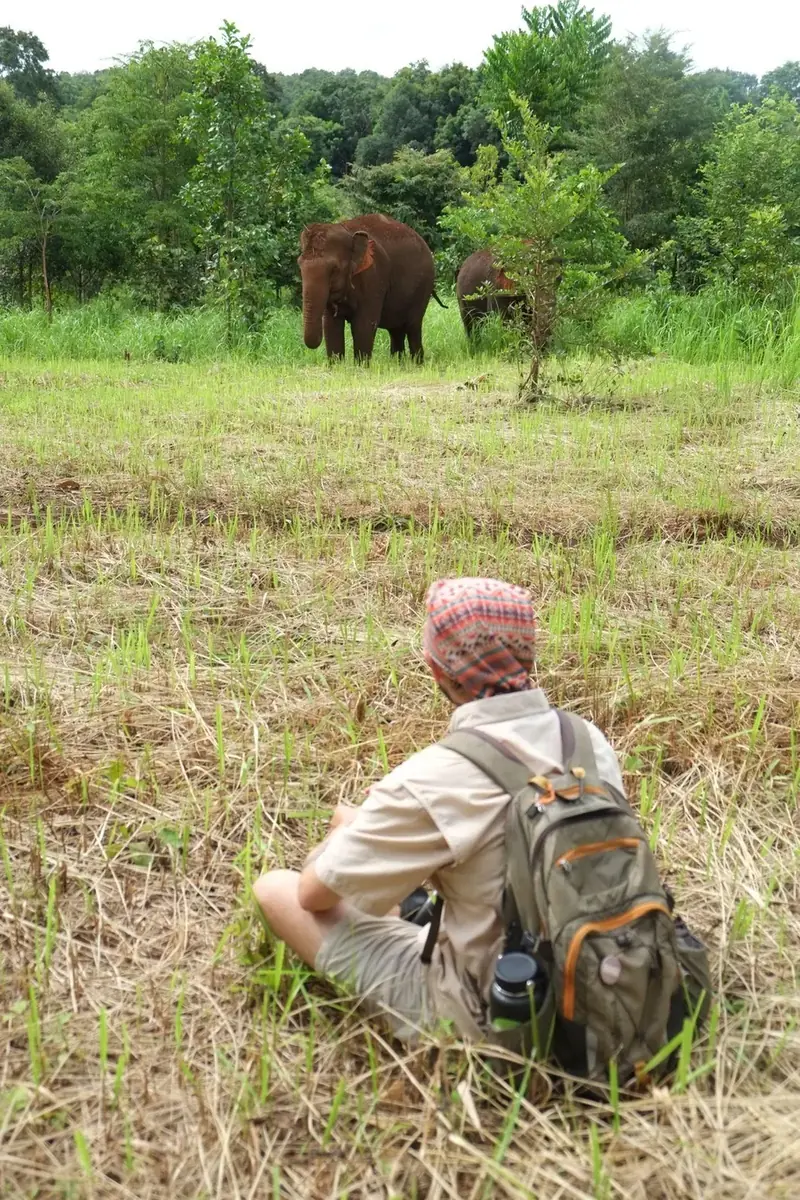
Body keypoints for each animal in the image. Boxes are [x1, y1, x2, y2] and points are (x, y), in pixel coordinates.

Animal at [298, 214, 442, 363]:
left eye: (334, 269)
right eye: (299, 266)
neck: (347, 231)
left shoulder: (374, 277)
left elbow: (364, 325)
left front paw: (360, 366)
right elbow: (330, 325)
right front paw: (337, 365)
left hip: (423, 287)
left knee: (413, 326)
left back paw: (416, 364)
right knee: (396, 330)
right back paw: (398, 364)